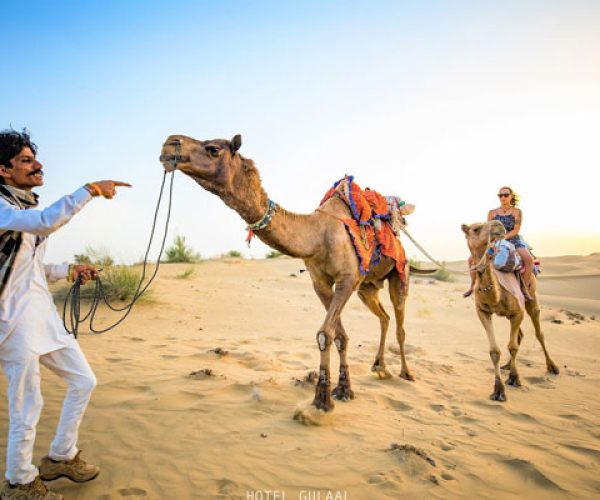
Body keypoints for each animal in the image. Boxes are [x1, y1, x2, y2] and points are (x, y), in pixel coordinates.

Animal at [161, 134, 426, 410]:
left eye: (213, 149)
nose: (170, 143)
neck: (317, 235)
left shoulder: (347, 279)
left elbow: (325, 334)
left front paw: (322, 400)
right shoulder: (321, 283)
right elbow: (339, 335)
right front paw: (343, 390)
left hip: (400, 274)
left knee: (399, 322)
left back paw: (406, 373)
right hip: (367, 288)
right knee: (384, 317)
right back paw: (379, 367)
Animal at [462, 221, 560, 400]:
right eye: (475, 229)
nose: (498, 225)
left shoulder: (518, 312)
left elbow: (512, 347)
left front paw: (515, 379)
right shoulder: (483, 312)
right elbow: (495, 351)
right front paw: (498, 390)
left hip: (532, 299)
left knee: (539, 333)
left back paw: (552, 367)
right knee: (519, 335)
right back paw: (507, 365)